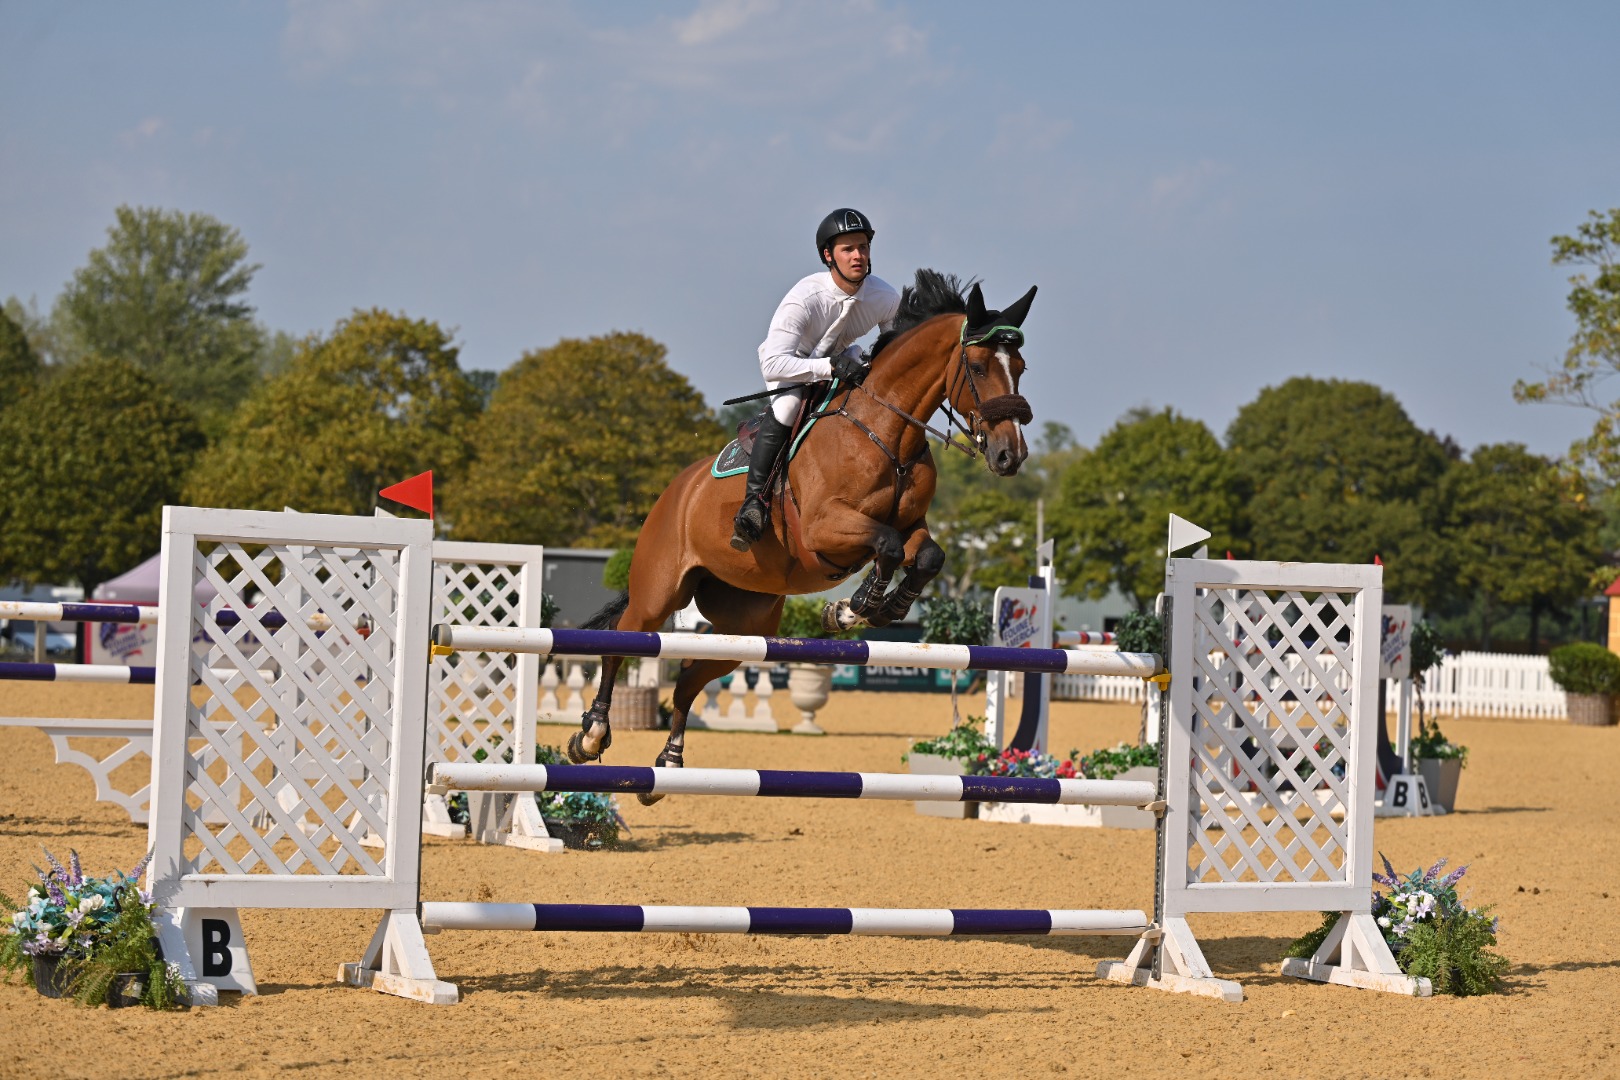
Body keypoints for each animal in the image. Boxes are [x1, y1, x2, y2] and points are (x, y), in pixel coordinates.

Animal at [568, 269, 1037, 795]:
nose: (1010, 455)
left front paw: (879, 607)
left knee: (690, 676)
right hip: (658, 592)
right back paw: (592, 734)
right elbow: (888, 545)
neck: (886, 431)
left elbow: (925, 555)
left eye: (1020, 366)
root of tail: (676, 491)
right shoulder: (823, 530)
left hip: (745, 624)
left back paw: (669, 762)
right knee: (621, 644)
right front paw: (854, 608)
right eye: (977, 366)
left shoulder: (911, 525)